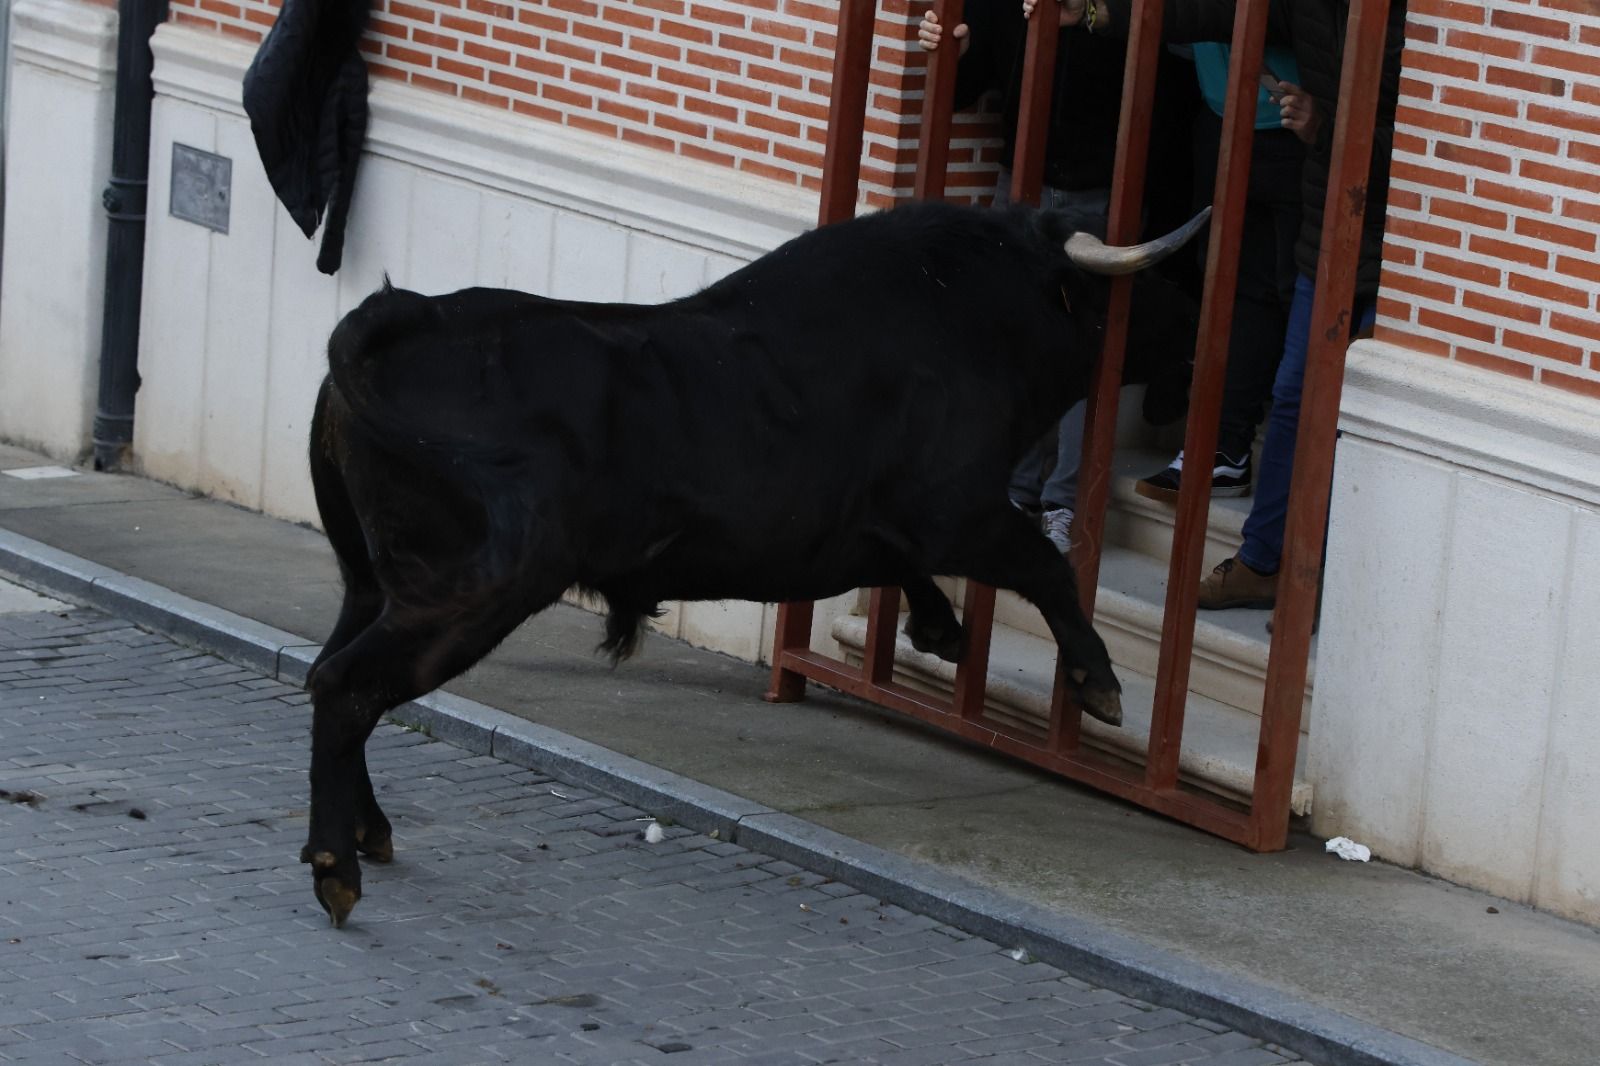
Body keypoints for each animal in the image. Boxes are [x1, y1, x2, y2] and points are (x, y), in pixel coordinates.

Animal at [300, 199, 1203, 921]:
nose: (1200, 347)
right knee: (348, 686)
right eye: (1147, 290)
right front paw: (1099, 685)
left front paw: (940, 629)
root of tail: (396, 322)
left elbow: (909, 570)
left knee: (332, 674)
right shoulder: (961, 513)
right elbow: (1047, 568)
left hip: (373, 583)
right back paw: (337, 867)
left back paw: (366, 832)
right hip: (473, 589)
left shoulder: (881, 530)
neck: (967, 309)